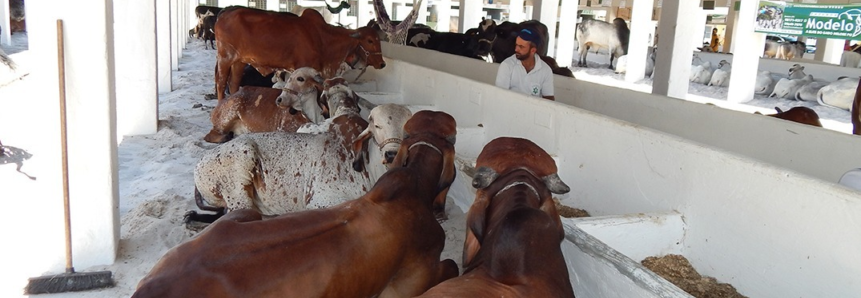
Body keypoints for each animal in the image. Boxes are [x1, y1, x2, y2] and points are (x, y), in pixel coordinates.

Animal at [186, 80, 414, 222]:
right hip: (239, 183)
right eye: (376, 125)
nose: (392, 154)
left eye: (407, 127)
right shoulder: (320, 203)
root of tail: (199, 165)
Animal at [213, 5, 384, 100]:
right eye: (370, 40)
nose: (382, 64)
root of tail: (223, 13)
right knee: (221, 84)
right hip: (225, 58)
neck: (323, 37)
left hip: (239, 62)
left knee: (233, 84)